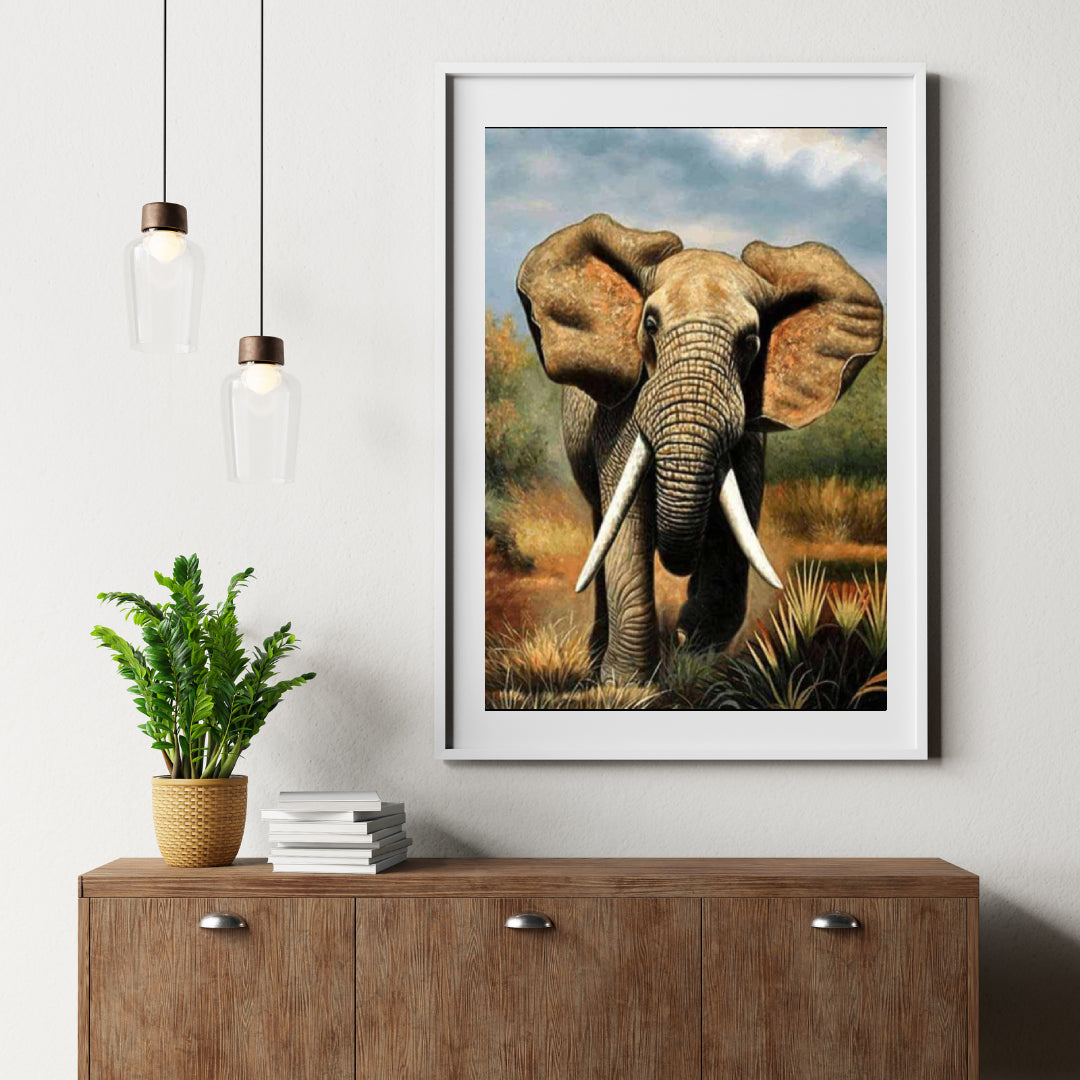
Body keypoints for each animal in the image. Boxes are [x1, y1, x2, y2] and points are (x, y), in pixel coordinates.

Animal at [516, 213, 883, 683]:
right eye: (650, 325)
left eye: (751, 341)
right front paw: (628, 685)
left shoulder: (749, 434)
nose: (681, 632)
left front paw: (695, 656)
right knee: (603, 524)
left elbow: (734, 525)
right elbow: (629, 523)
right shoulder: (620, 417)